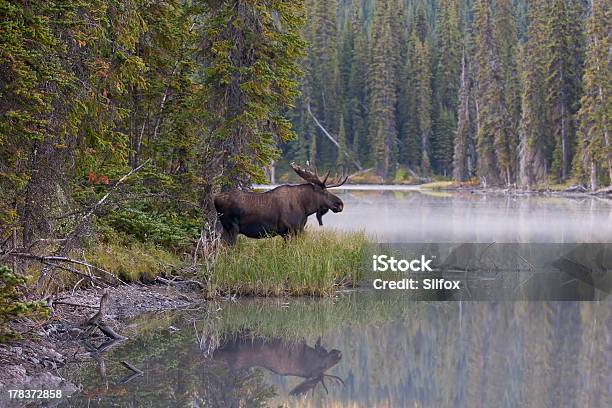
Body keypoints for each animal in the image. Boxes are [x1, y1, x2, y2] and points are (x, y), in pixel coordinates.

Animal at [214, 163, 350, 244]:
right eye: (324, 191)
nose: (340, 204)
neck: (305, 208)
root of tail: (215, 199)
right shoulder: (289, 231)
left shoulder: (296, 231)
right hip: (232, 228)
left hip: (226, 229)